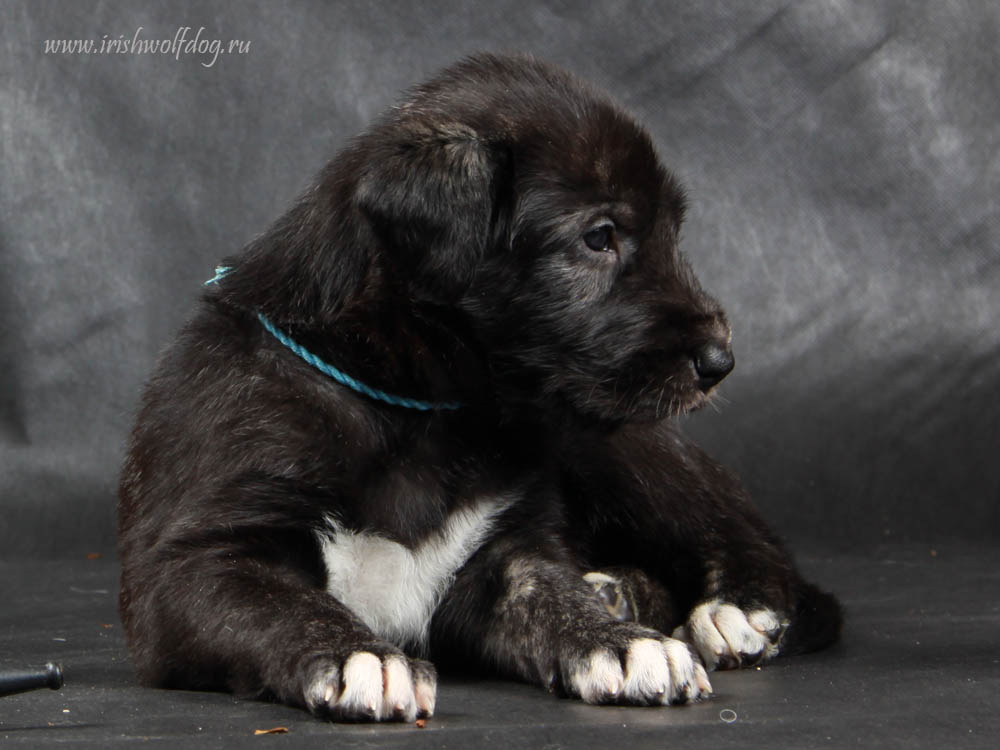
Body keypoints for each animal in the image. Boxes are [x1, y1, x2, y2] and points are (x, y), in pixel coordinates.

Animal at [119, 53, 844, 724]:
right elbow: (282, 604)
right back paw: (621, 589)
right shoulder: (197, 560)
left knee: (753, 545)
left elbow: (550, 593)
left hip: (623, 454)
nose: (722, 359)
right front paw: (362, 655)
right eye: (600, 236)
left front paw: (620, 640)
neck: (414, 406)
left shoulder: (504, 552)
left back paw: (730, 610)